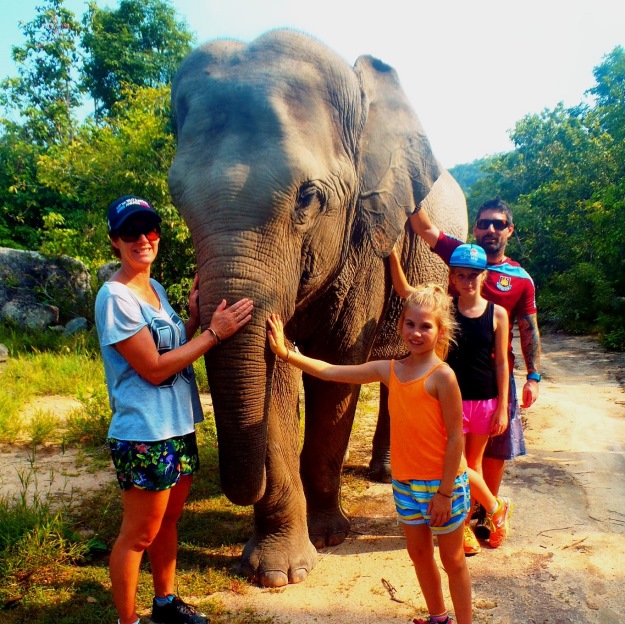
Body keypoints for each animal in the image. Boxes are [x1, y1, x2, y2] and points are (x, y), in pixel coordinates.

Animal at [168, 29, 466, 588]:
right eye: (177, 200)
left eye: (307, 198)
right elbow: (278, 378)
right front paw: (278, 573)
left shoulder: (366, 241)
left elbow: (337, 368)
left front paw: (330, 537)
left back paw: (386, 475)